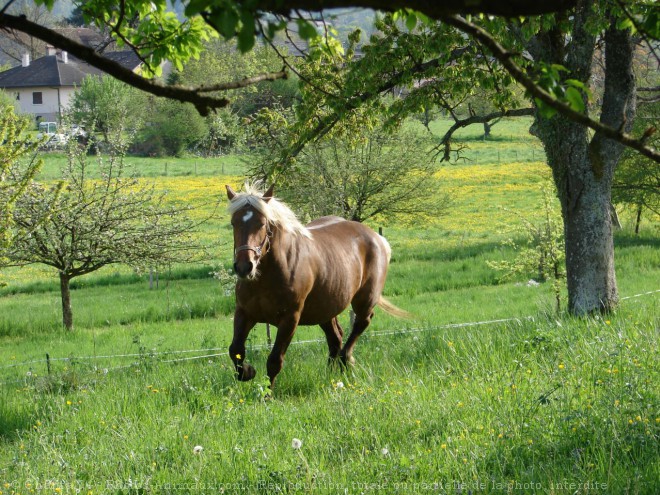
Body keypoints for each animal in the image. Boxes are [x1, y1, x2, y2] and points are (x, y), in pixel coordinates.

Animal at [224, 183, 404, 388]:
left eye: (262, 223)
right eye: (234, 223)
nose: (244, 267)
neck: (267, 277)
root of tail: (377, 238)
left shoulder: (290, 319)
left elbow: (274, 361)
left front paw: (267, 392)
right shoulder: (244, 313)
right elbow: (235, 350)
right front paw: (247, 372)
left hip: (364, 299)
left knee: (360, 323)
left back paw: (346, 359)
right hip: (325, 308)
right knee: (335, 338)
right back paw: (332, 376)